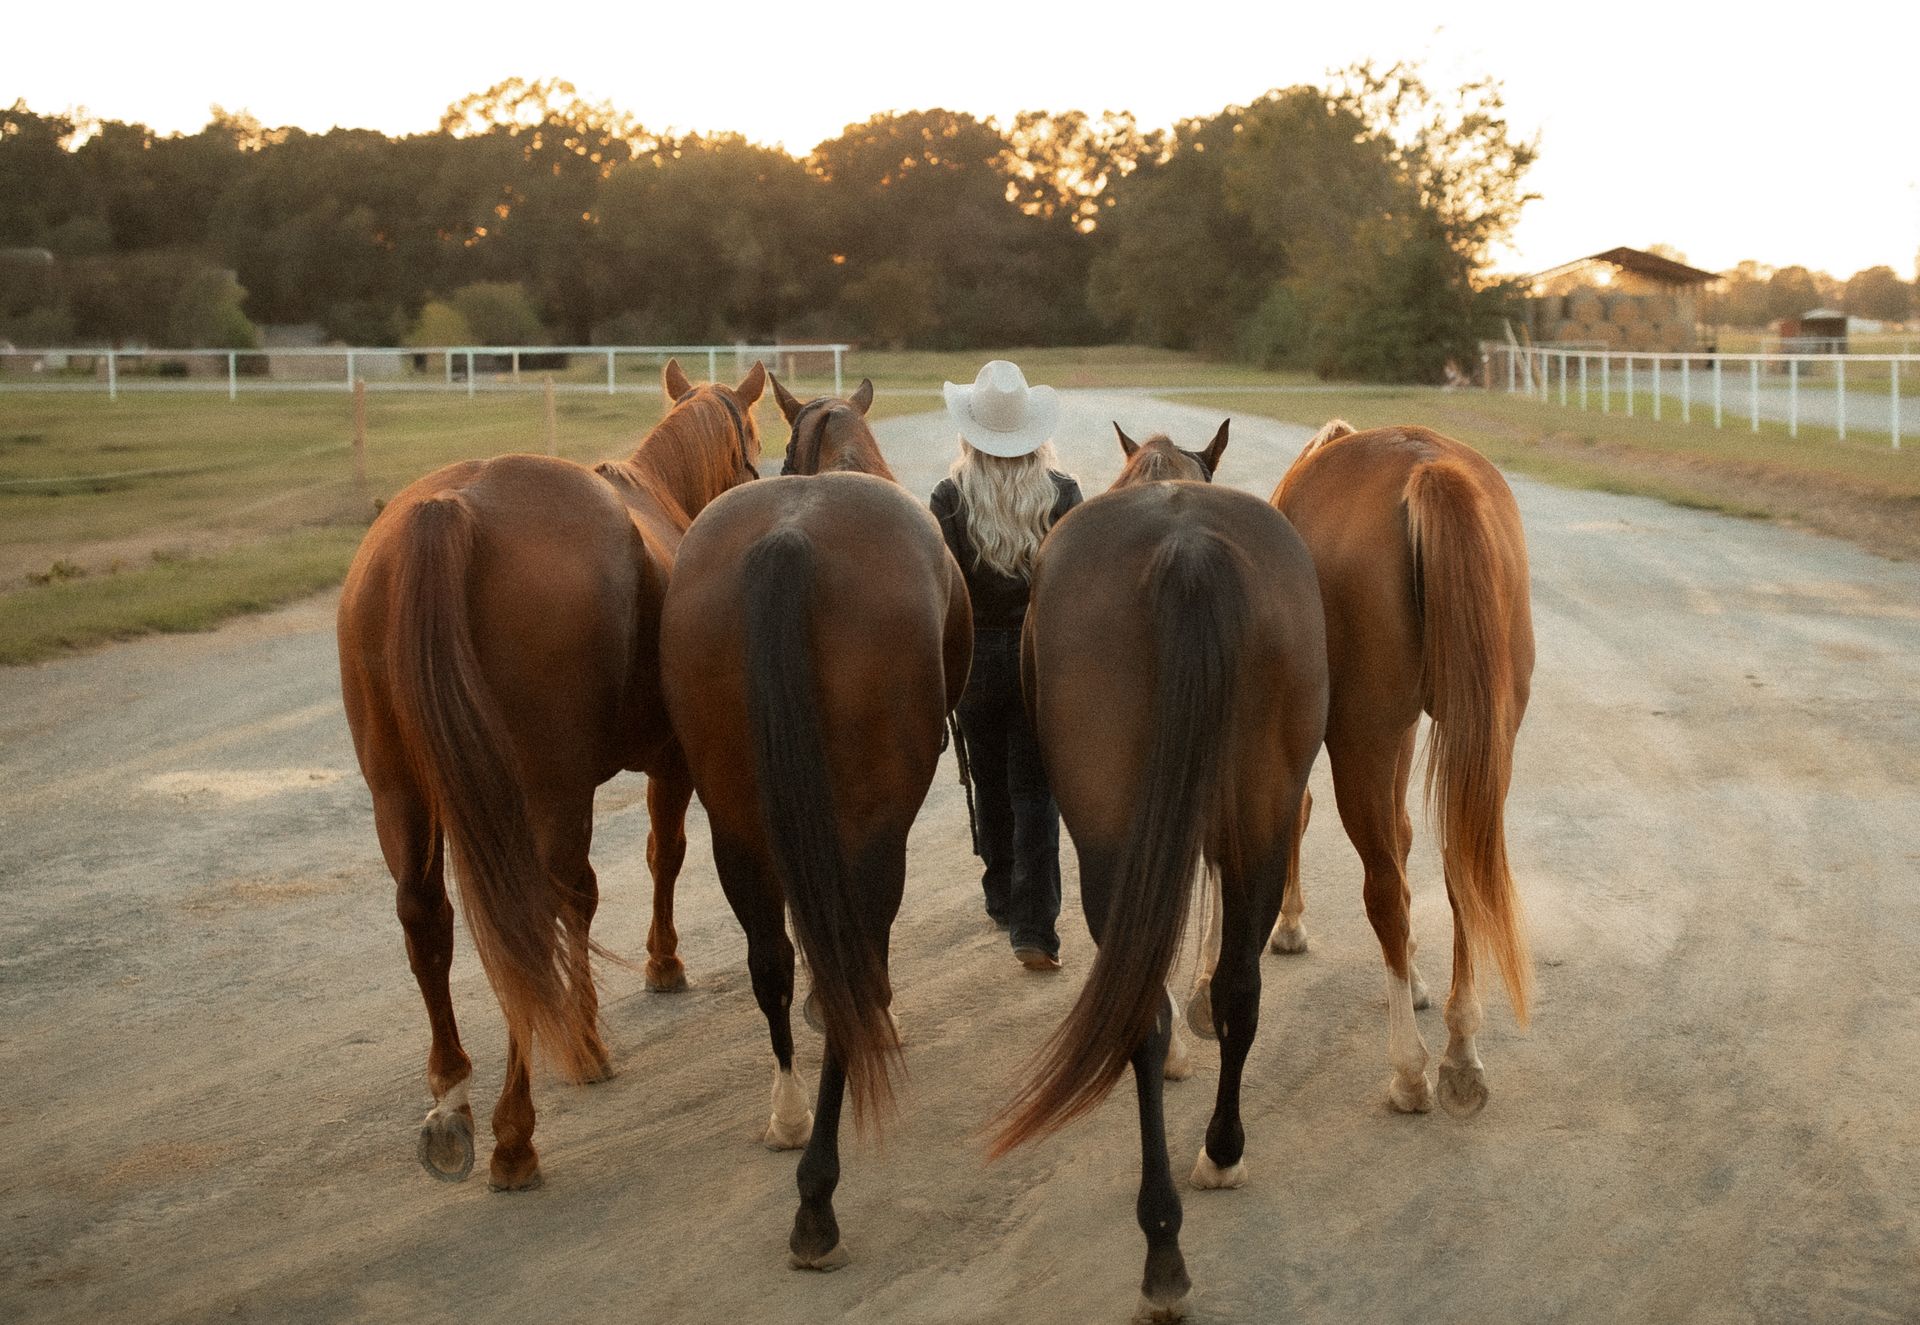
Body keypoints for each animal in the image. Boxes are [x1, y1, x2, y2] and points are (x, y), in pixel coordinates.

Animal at [336, 358, 765, 1191]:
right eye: (754, 441)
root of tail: (450, 510)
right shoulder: (669, 760)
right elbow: (661, 856)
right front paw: (655, 967)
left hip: (398, 791)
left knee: (426, 915)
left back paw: (455, 1096)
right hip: (547, 789)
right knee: (540, 914)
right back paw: (521, 1122)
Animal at [659, 376, 971, 1269]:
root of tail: (789, 544)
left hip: (734, 819)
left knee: (771, 959)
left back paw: (790, 1113)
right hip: (871, 827)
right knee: (848, 966)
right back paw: (817, 1195)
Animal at [992, 419, 1328, 1320]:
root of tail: (1186, 551)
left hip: (1113, 836)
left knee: (1138, 1009)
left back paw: (1164, 1245)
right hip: (1263, 817)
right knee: (1244, 983)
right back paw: (1221, 1148)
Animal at [1190, 419, 1533, 1118]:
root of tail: (1429, 469)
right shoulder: (1402, 734)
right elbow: (1402, 843)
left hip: (1359, 741)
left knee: (1382, 891)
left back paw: (1410, 1069)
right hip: (1483, 737)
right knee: (1458, 869)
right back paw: (1461, 1051)